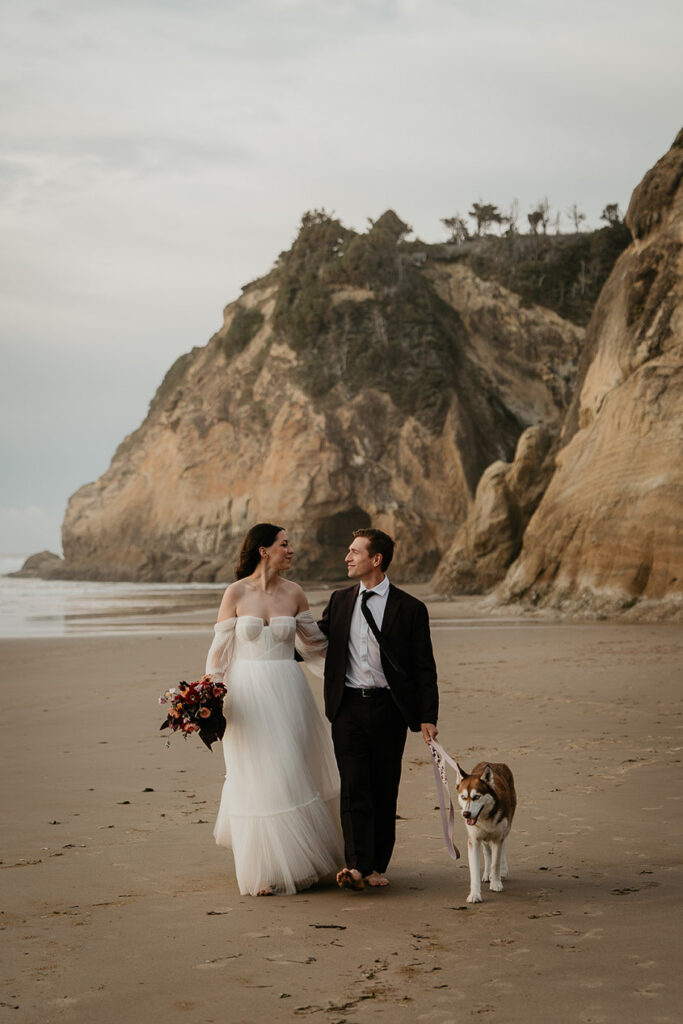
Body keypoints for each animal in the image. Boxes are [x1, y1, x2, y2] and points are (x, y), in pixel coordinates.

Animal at [454, 761, 518, 905]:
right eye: (463, 797)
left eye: (476, 797)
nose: (466, 814)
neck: (485, 818)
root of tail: (495, 763)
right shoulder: (474, 840)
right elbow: (475, 869)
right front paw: (474, 894)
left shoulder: (497, 838)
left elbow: (496, 863)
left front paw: (496, 883)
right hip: (484, 839)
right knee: (487, 852)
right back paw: (487, 874)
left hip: (506, 828)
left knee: (501, 848)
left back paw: (502, 871)